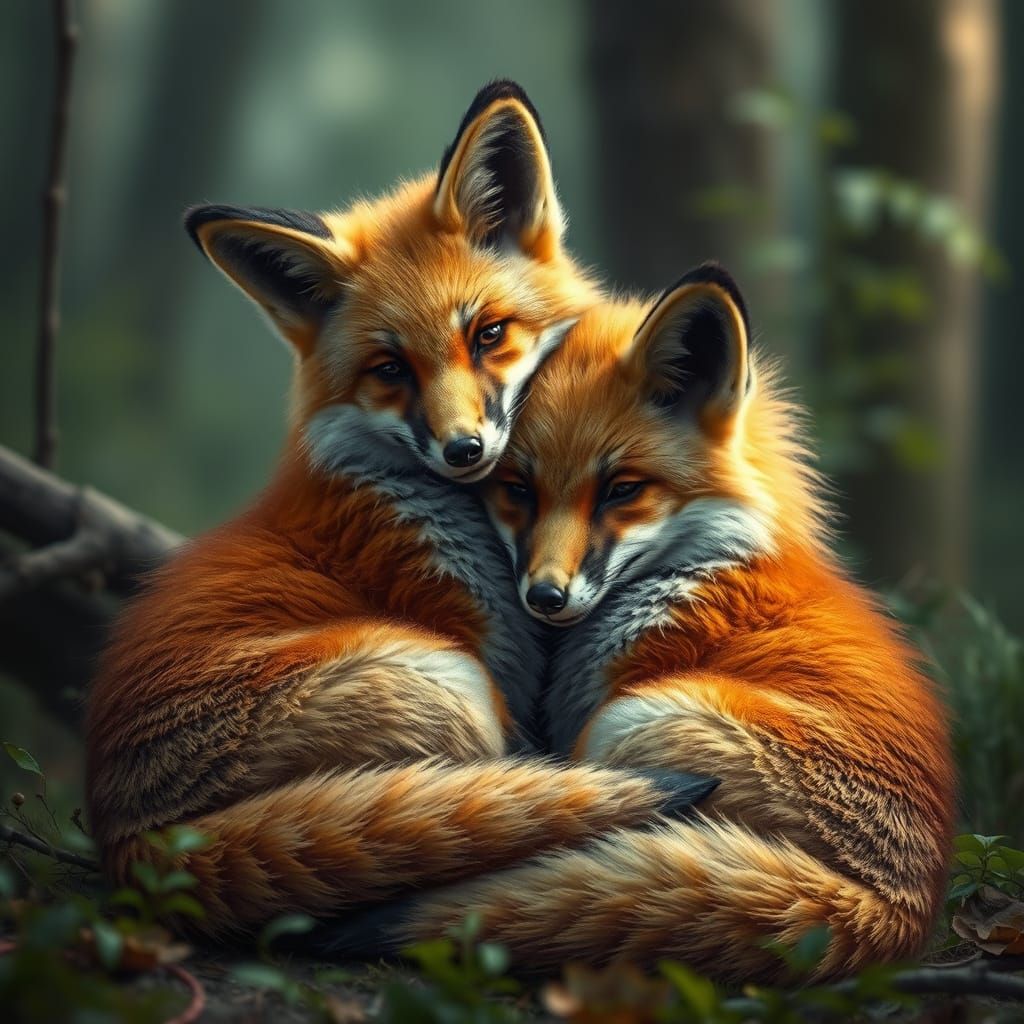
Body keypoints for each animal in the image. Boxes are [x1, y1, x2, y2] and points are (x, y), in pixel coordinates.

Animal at [85, 84, 717, 938]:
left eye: (488, 334)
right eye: (390, 369)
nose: (464, 448)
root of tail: (128, 843)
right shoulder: (494, 673)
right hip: (443, 682)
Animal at [315, 264, 956, 983]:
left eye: (622, 489)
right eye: (519, 490)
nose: (545, 596)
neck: (700, 572)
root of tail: (897, 911)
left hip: (630, 721)